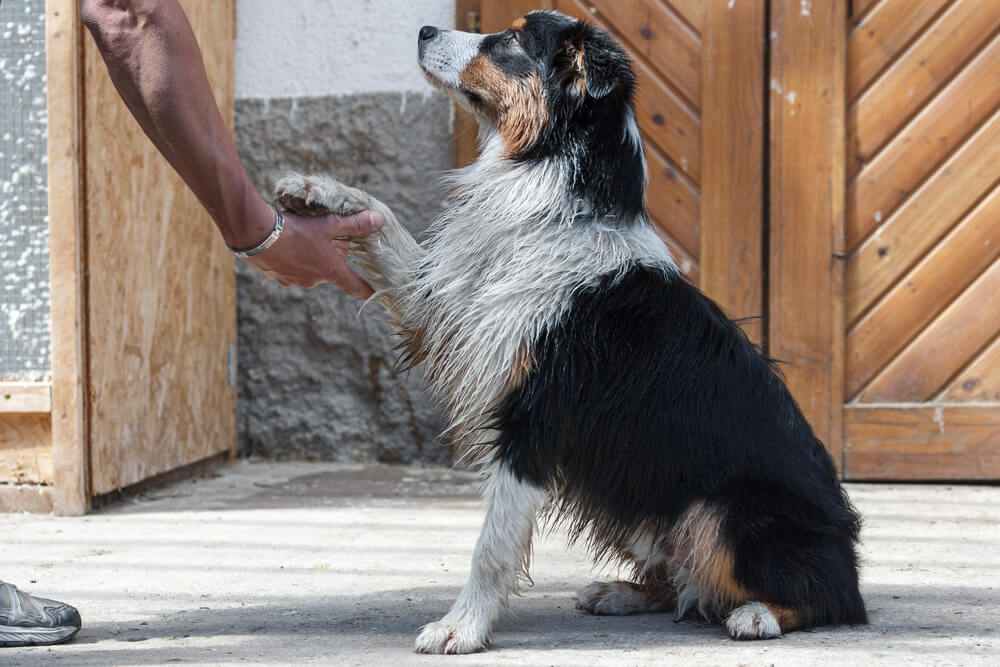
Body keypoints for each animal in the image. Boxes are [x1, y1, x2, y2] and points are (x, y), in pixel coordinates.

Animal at [276, 10, 868, 656]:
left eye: (511, 40)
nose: (425, 30)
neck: (549, 186)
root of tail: (846, 549)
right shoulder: (444, 308)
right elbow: (383, 223)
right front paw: (317, 191)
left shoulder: (535, 416)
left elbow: (493, 543)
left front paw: (462, 627)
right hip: (631, 488)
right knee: (687, 584)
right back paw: (623, 593)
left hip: (724, 511)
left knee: (827, 599)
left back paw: (759, 614)